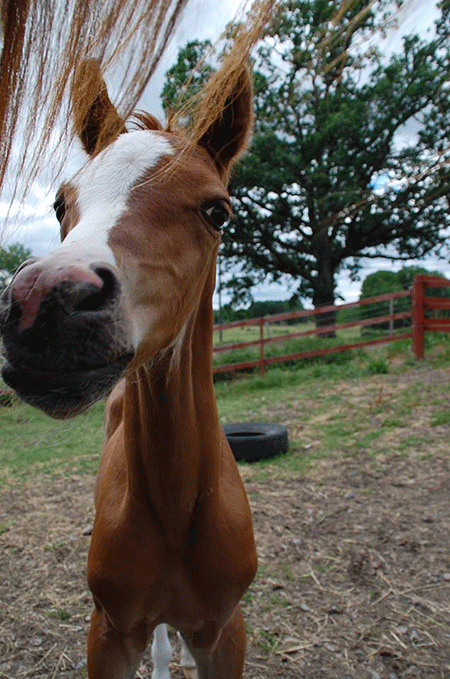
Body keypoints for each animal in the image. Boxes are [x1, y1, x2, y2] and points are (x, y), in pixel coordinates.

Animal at [0, 58, 258, 679]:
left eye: (217, 211)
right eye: (60, 204)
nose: (43, 305)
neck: (176, 507)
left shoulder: (224, 632)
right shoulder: (110, 631)